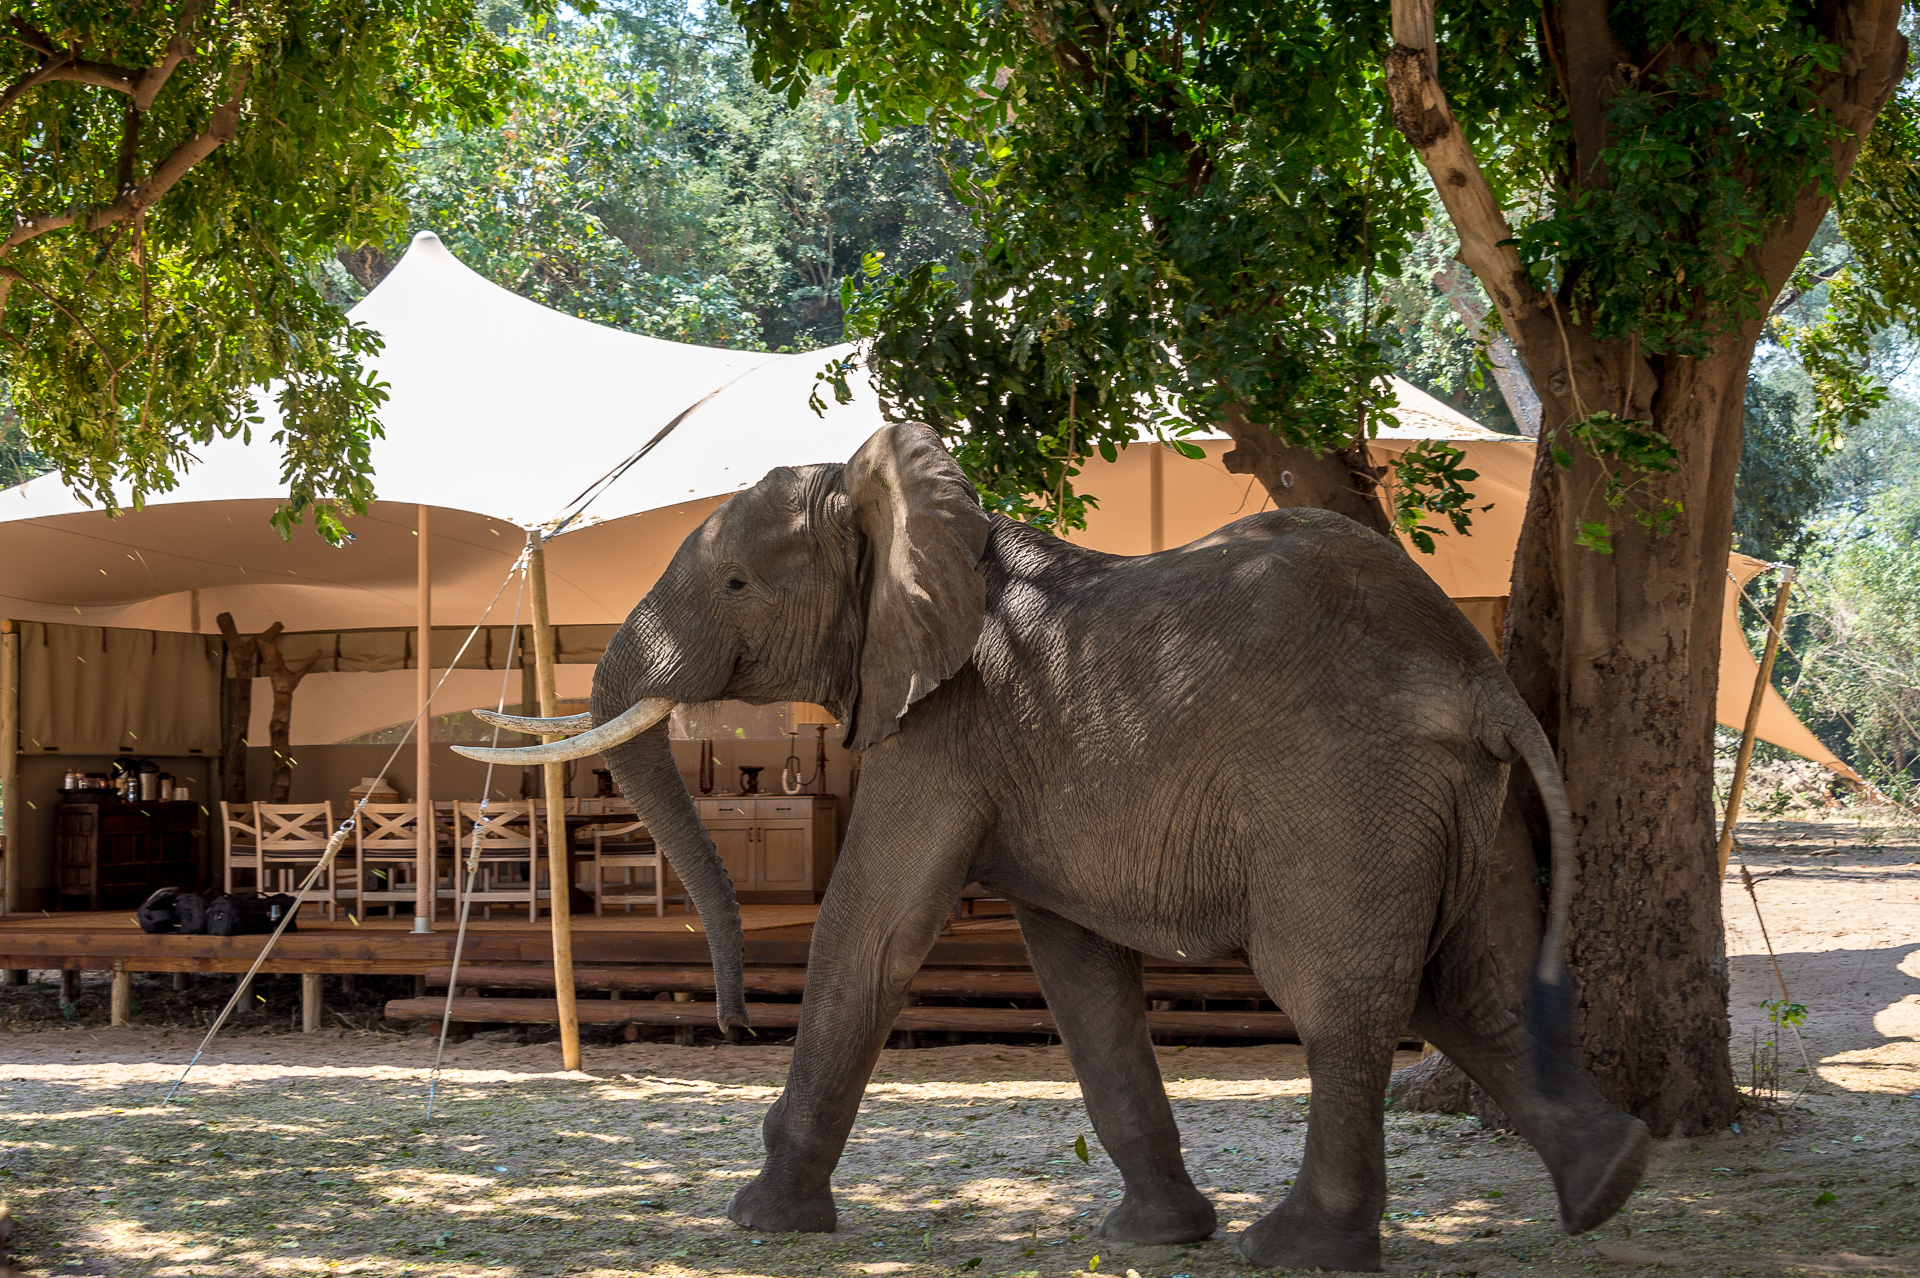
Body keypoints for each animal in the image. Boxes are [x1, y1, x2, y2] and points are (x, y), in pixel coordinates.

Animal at [457, 421, 1652, 1272]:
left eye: (739, 584)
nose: (732, 1022)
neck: (903, 512)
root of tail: (1478, 675)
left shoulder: (943, 732)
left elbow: (872, 931)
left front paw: (760, 1220)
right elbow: (1077, 973)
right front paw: (1155, 1239)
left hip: (1347, 793)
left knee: (1340, 998)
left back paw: (1297, 1249)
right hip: (1463, 803)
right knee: (1474, 989)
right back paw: (1610, 1185)